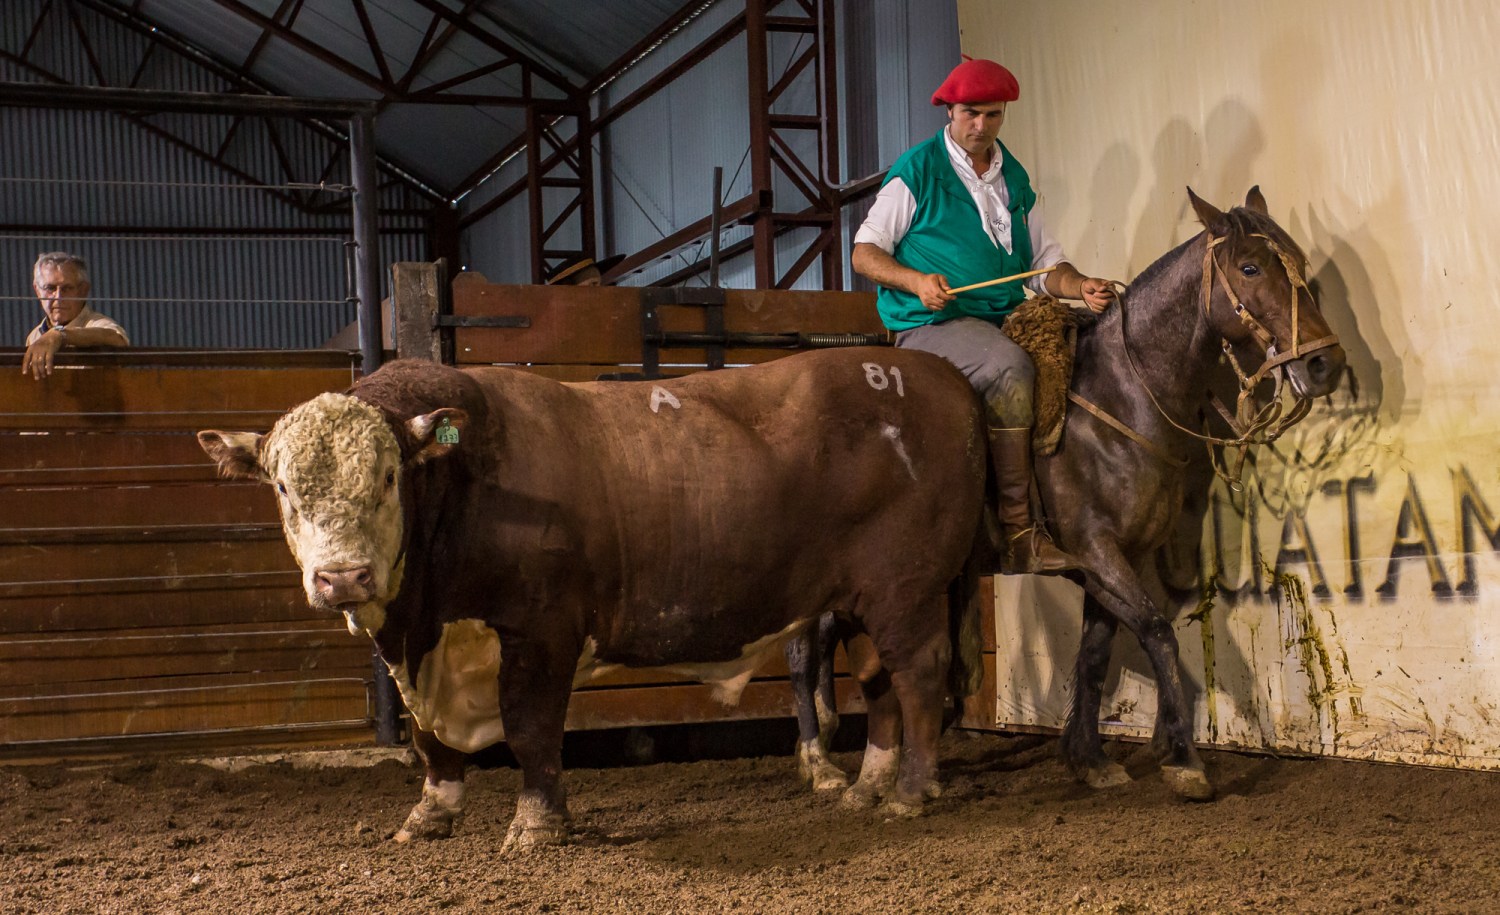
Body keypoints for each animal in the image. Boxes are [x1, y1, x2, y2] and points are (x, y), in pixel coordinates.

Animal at [202, 351, 996, 846]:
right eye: (283, 486)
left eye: (389, 476)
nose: (342, 577)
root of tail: (937, 375)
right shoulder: (412, 645)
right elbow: (428, 742)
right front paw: (432, 812)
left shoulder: (542, 628)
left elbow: (530, 729)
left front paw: (536, 825)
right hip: (861, 601)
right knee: (880, 687)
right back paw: (867, 785)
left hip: (906, 589)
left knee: (919, 676)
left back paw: (909, 791)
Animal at [798, 185, 1350, 798]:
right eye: (1250, 267)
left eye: (1298, 262)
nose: (1324, 363)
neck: (1121, 398)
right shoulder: (1098, 550)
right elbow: (1157, 632)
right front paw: (1184, 759)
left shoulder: (1114, 560)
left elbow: (1094, 654)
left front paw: (1090, 758)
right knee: (806, 642)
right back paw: (820, 760)